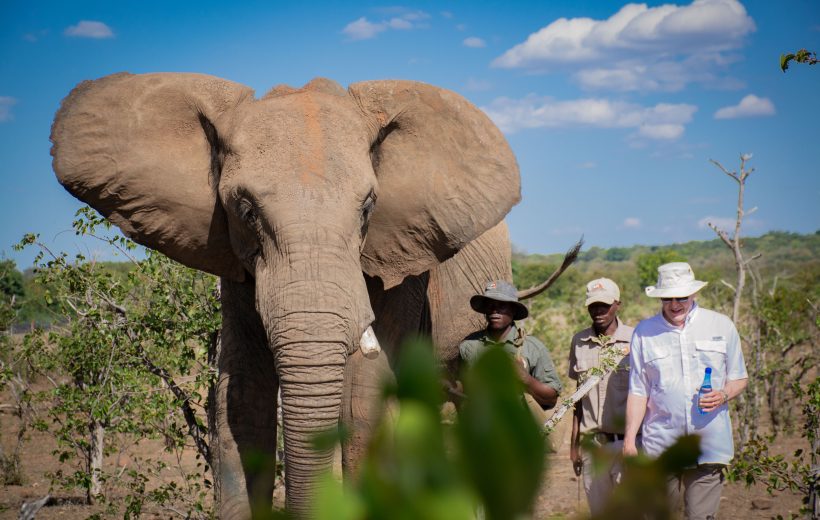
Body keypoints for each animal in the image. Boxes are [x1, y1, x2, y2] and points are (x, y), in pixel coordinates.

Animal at [50, 73, 524, 517]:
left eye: (368, 208)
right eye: (245, 210)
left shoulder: (405, 259)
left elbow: (362, 398)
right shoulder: (236, 260)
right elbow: (242, 396)